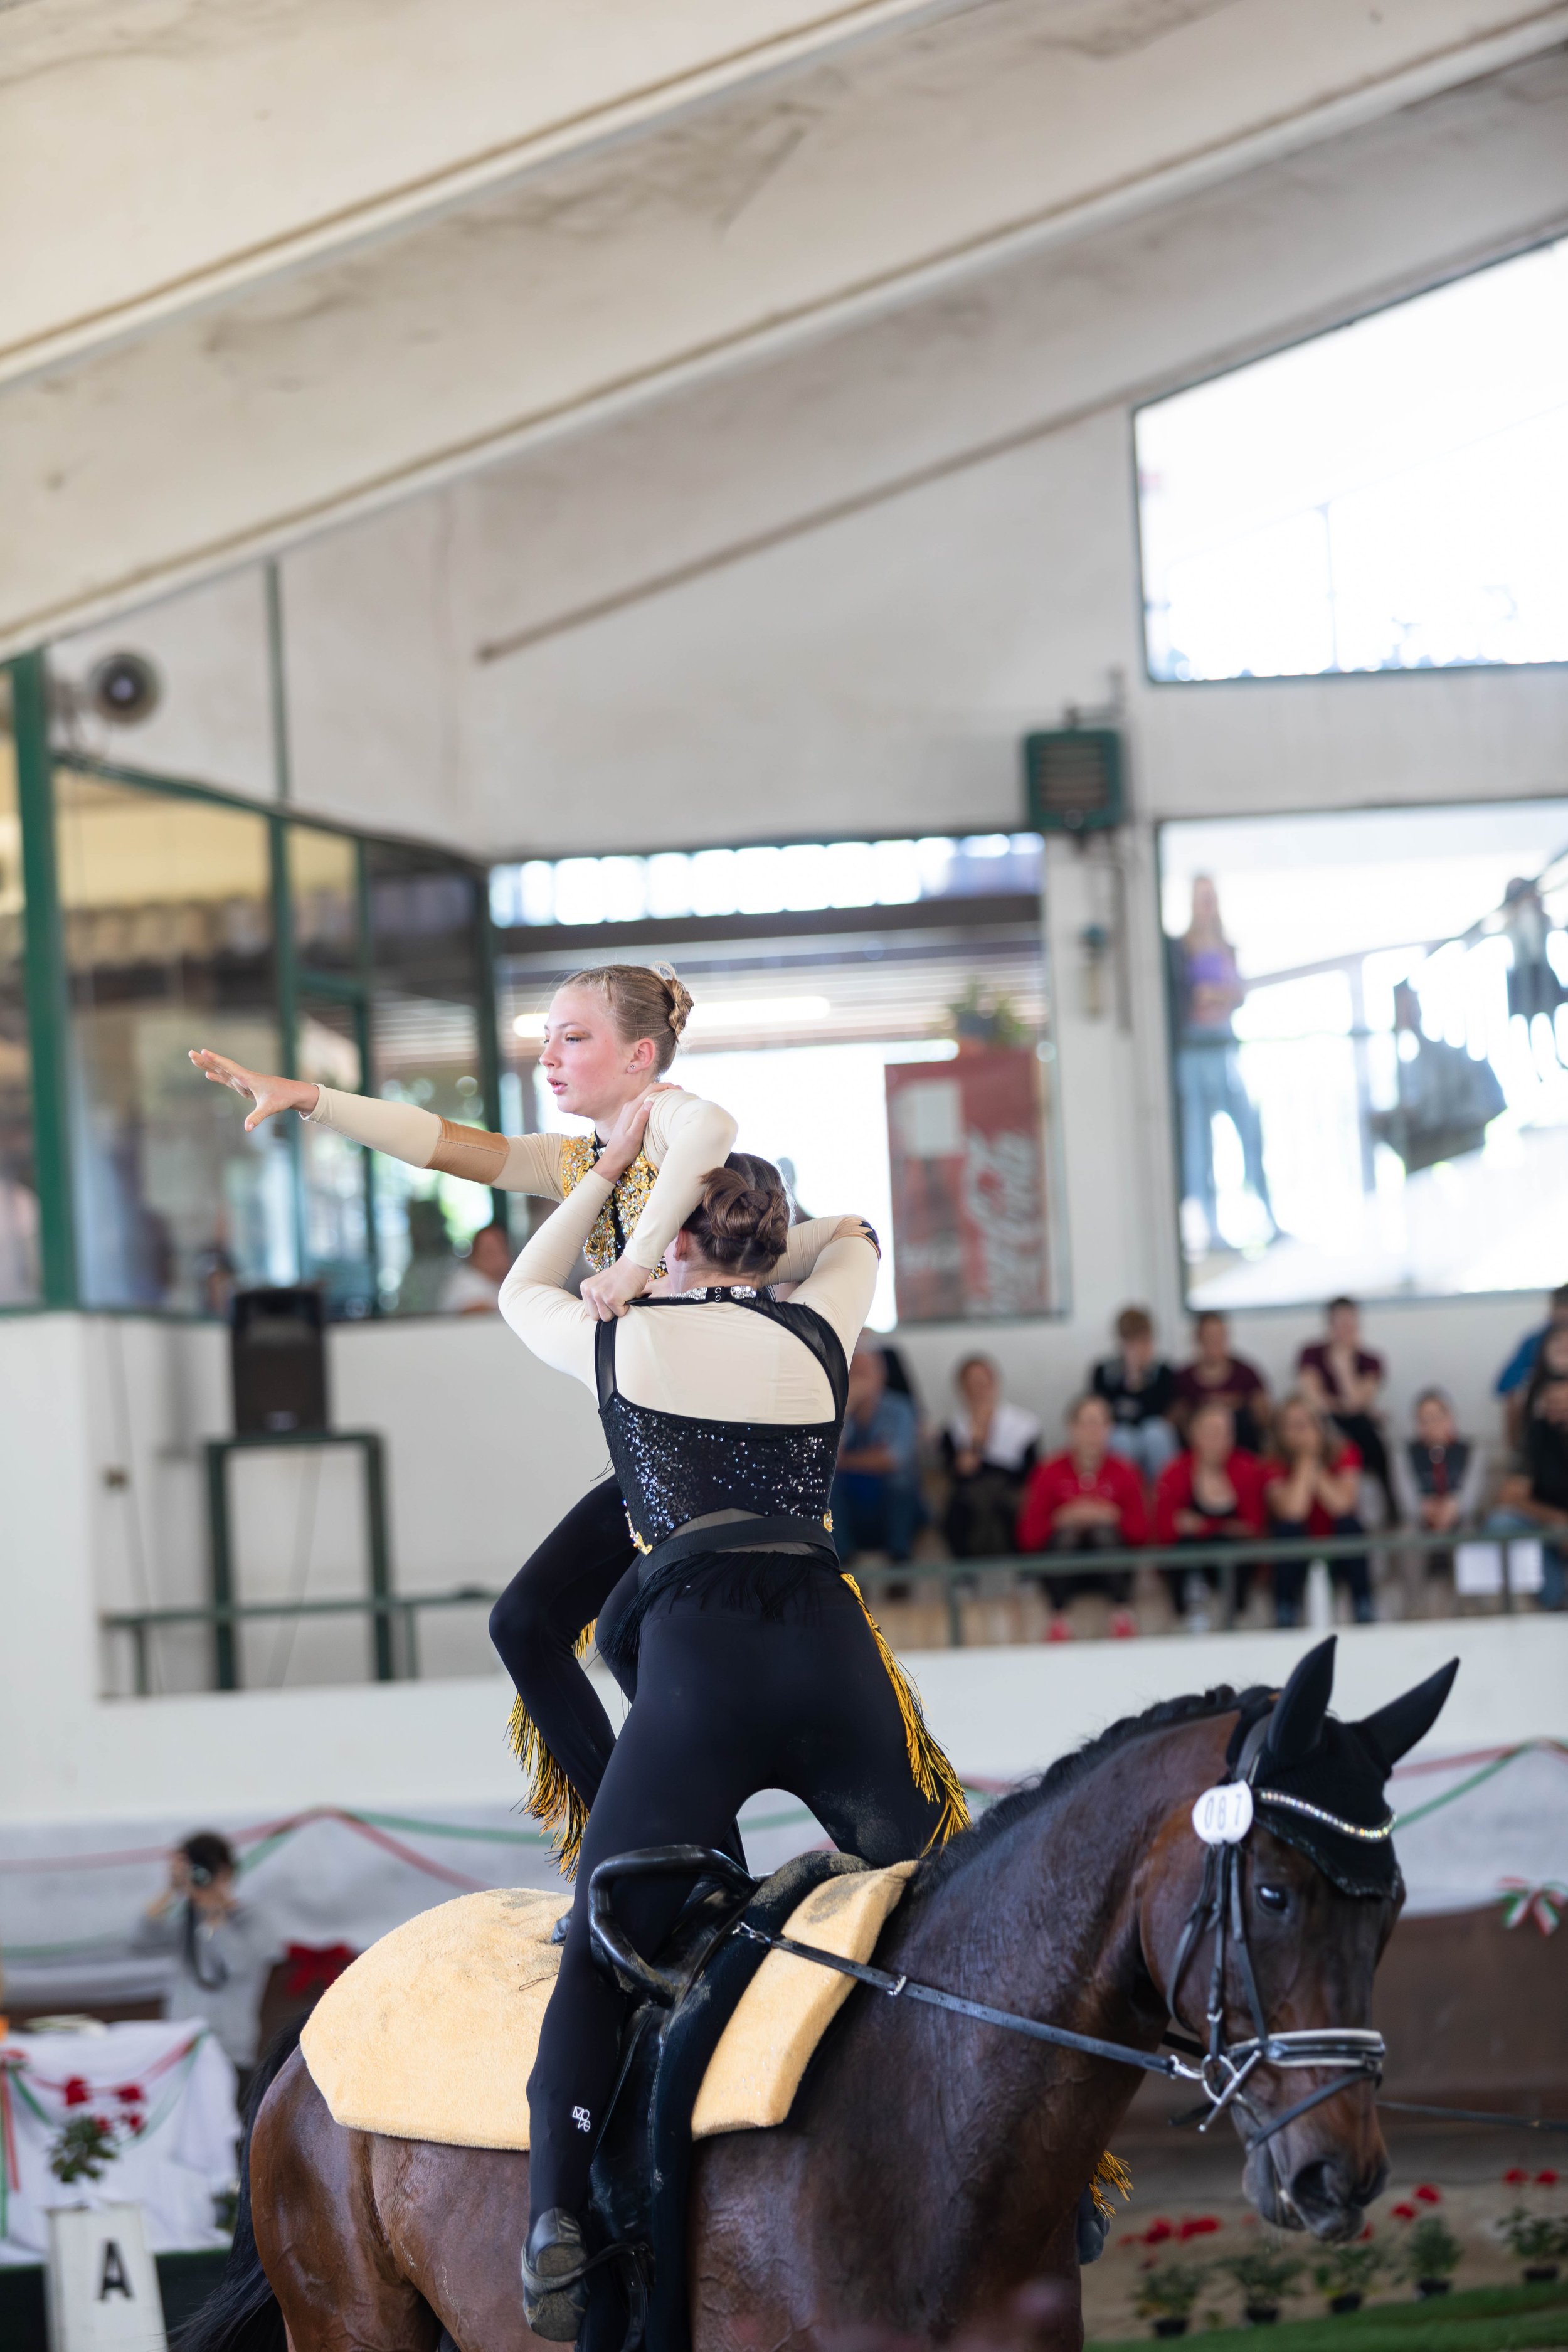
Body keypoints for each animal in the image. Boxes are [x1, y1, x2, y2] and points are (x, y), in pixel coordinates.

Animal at [188, 1650, 1448, 2352]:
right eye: (1275, 1892)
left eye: (1392, 1905)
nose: (1339, 2173)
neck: (929, 2142)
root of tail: (309, 2034)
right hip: (349, 2327)